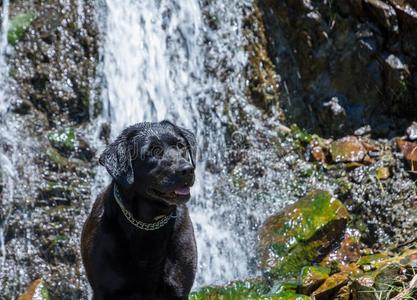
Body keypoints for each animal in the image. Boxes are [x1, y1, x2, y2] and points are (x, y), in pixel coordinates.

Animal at [82, 120, 198, 298]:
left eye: (181, 145)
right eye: (153, 151)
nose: (187, 170)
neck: (148, 223)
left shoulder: (178, 288)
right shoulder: (105, 290)